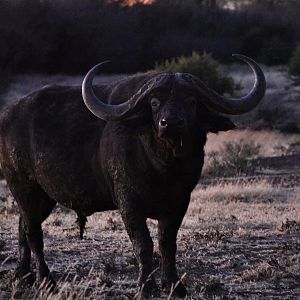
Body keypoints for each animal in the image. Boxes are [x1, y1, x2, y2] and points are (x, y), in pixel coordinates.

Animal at [0, 55, 266, 296]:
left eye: (191, 101)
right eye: (155, 102)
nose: (170, 123)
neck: (164, 168)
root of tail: (7, 115)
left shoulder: (180, 203)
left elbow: (167, 243)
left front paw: (174, 285)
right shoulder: (129, 204)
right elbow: (144, 244)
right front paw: (145, 286)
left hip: (43, 198)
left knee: (23, 227)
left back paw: (22, 276)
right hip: (24, 187)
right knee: (34, 234)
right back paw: (47, 281)